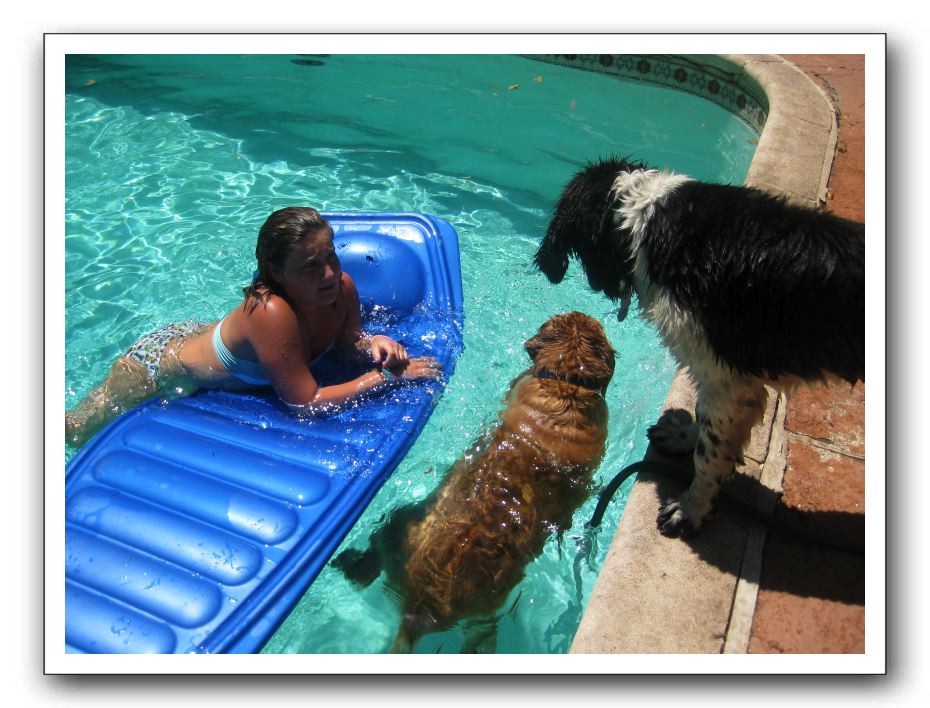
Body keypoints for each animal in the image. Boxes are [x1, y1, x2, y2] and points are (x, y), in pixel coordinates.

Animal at [534, 156, 864, 538]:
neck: (643, 219)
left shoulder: (725, 376)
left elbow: (711, 452)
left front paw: (691, 508)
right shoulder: (730, 379)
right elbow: (706, 423)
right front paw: (682, 436)